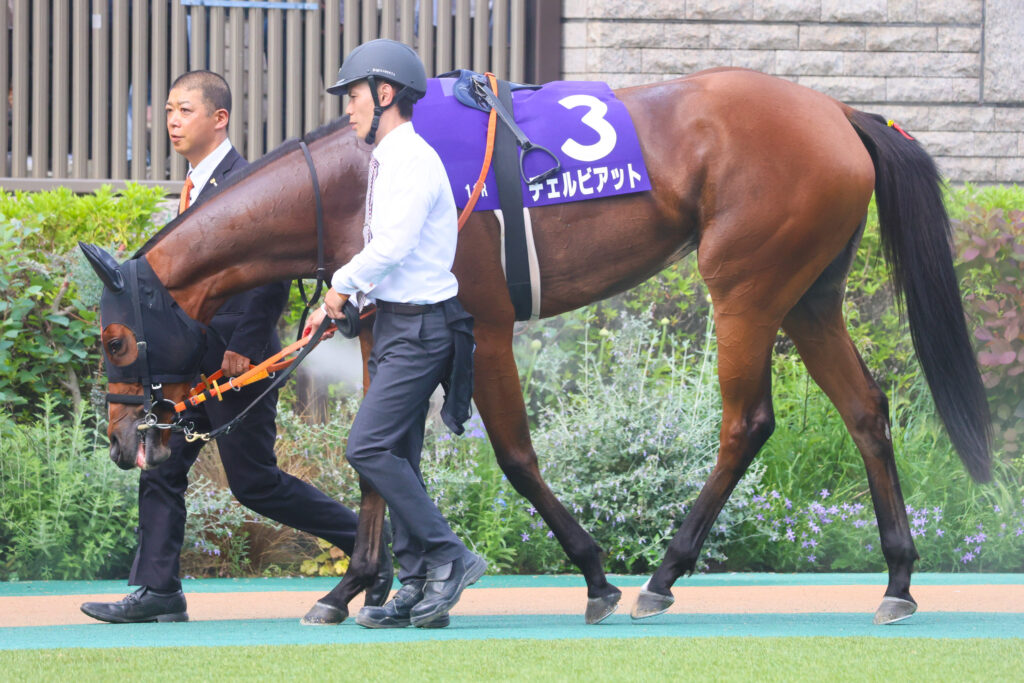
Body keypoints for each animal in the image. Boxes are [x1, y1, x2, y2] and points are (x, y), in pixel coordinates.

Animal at [82, 67, 990, 626]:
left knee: (748, 422)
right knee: (865, 409)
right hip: (809, 294)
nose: (125, 440)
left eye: (116, 339)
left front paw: (592, 572)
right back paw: (898, 579)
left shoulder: (480, 326)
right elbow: (375, 460)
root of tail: (838, 112)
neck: (358, 173)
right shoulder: (378, 327)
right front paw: (351, 587)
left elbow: (514, 457)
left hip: (747, 285)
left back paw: (663, 575)